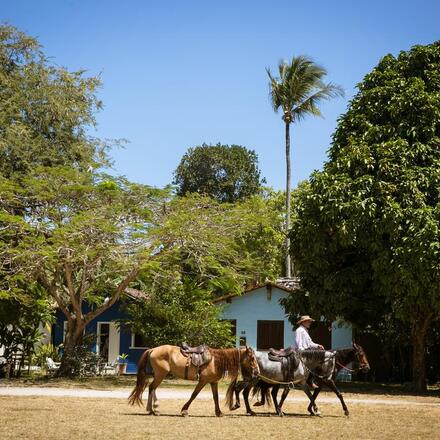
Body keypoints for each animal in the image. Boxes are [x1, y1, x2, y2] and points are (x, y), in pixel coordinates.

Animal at [127, 344, 260, 416]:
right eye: (252, 358)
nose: (257, 372)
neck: (214, 361)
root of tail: (153, 349)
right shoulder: (202, 381)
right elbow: (194, 395)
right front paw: (184, 410)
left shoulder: (213, 382)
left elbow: (215, 397)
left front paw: (218, 412)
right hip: (160, 374)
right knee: (152, 387)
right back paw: (152, 409)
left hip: (160, 375)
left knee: (152, 388)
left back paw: (153, 409)